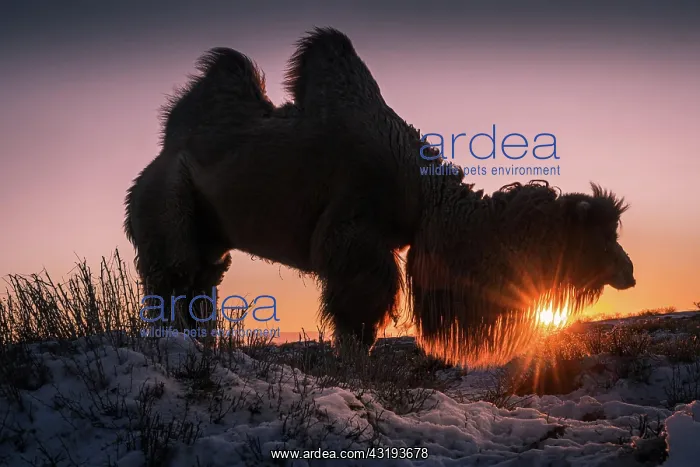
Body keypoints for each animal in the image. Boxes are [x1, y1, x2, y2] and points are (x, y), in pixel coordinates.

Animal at [124, 28, 635, 366]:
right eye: (597, 235)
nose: (628, 271)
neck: (427, 197)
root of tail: (160, 154)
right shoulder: (356, 233)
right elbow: (360, 311)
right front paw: (356, 368)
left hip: (211, 235)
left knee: (200, 285)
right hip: (168, 200)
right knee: (172, 275)